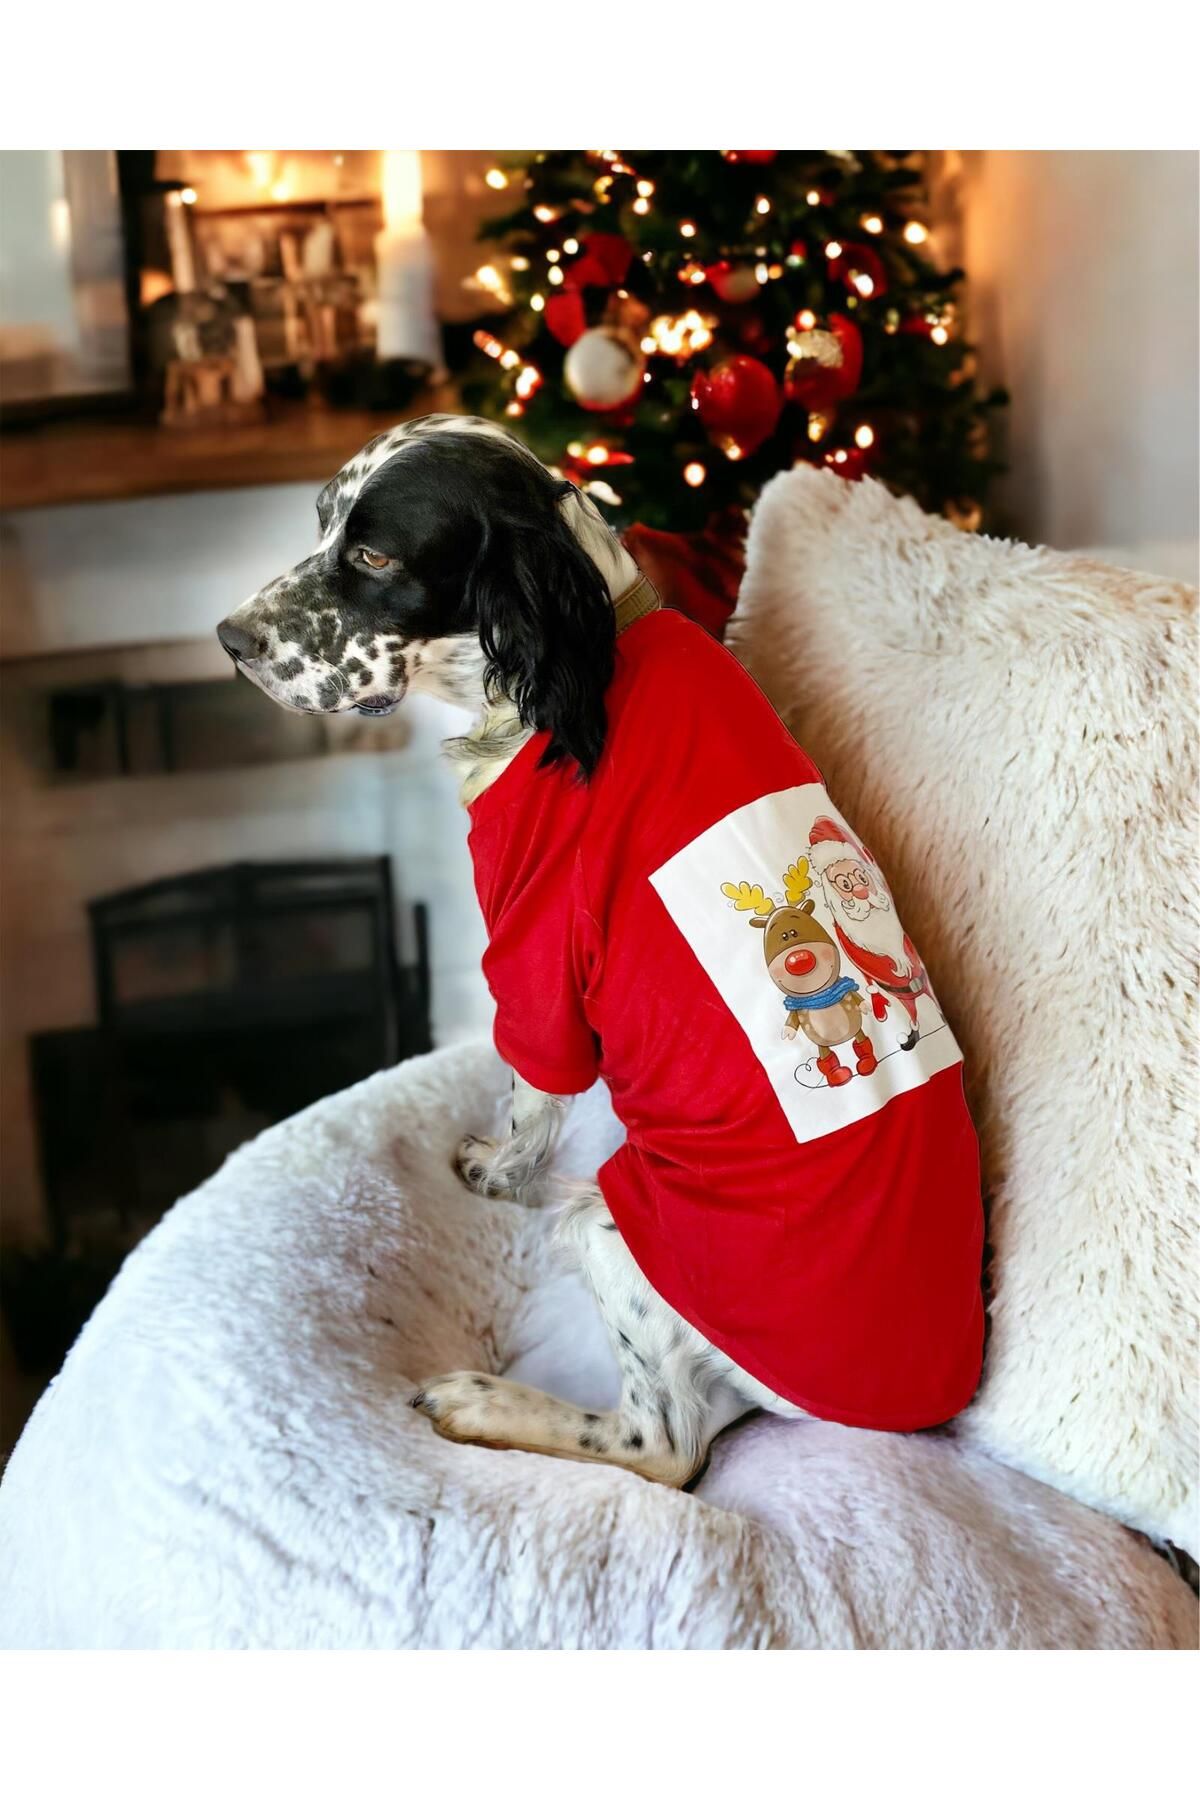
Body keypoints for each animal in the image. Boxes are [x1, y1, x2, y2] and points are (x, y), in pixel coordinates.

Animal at [218, 414, 985, 1483]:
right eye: (323, 522)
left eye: (374, 557)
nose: (229, 641)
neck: (588, 644)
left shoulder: (535, 952)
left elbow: (530, 1094)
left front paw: (495, 1175)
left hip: (616, 1229)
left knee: (664, 1447)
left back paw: (483, 1402)